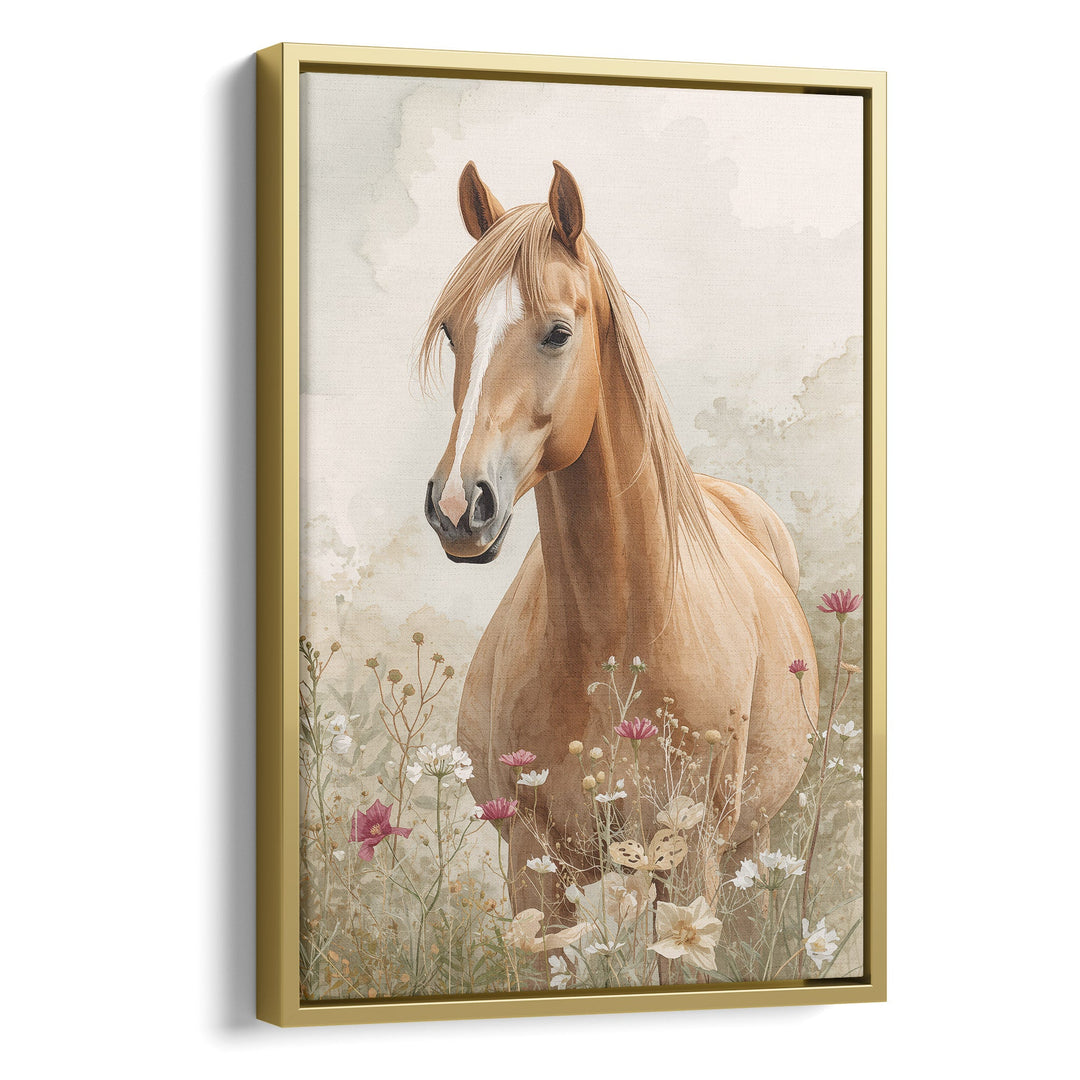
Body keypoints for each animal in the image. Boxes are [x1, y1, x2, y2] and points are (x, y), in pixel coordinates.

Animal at [420, 161, 819, 934]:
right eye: (452, 333)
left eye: (557, 332)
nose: (457, 507)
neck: (619, 629)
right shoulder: (536, 866)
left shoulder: (690, 862)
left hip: (751, 844)